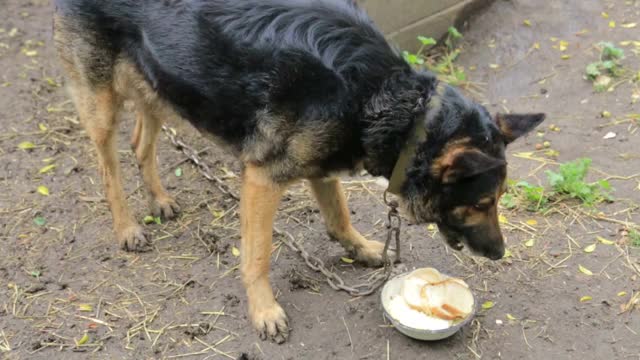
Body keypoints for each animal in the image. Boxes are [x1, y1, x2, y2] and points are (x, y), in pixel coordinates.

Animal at [53, 0, 544, 344]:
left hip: (161, 83)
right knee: (109, 167)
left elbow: (339, 217)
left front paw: (362, 249)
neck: (389, 103)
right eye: (483, 202)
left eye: (496, 201)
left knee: (141, 142)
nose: (500, 253)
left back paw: (159, 199)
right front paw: (263, 310)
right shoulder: (262, 180)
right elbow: (257, 256)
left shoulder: (322, 165)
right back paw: (128, 227)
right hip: (103, 103)